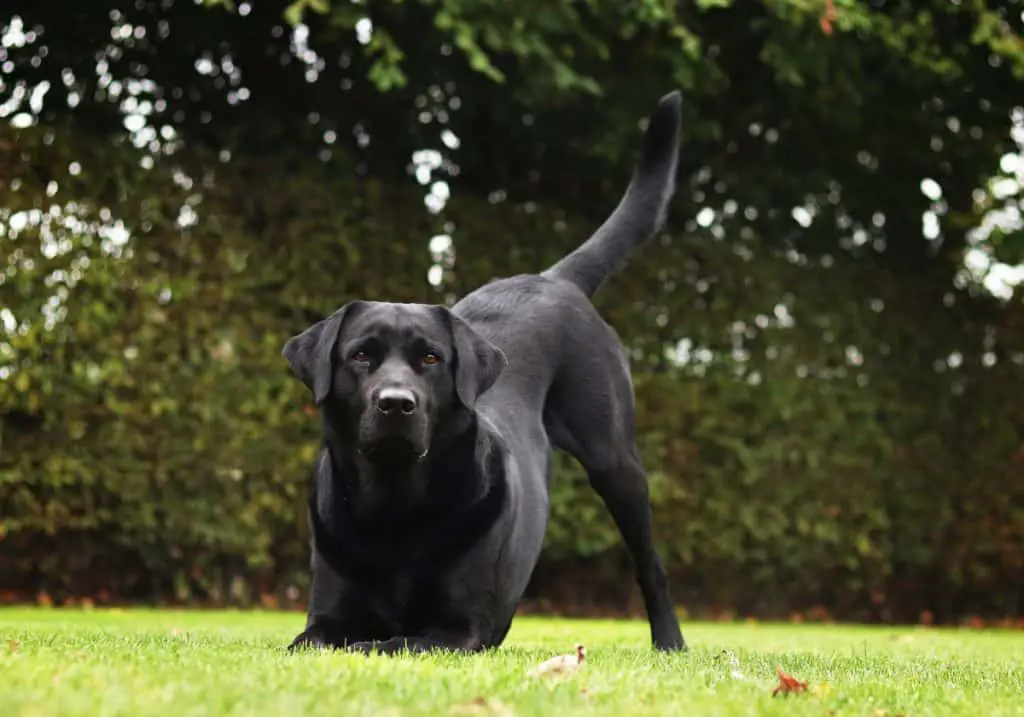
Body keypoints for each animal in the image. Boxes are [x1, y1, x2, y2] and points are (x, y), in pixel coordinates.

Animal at [282, 89, 688, 655]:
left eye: (431, 359)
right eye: (360, 356)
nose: (396, 403)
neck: (393, 508)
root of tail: (553, 278)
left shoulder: (459, 629)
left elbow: (389, 641)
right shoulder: (322, 619)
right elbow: (324, 639)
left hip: (615, 461)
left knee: (650, 564)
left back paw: (670, 641)